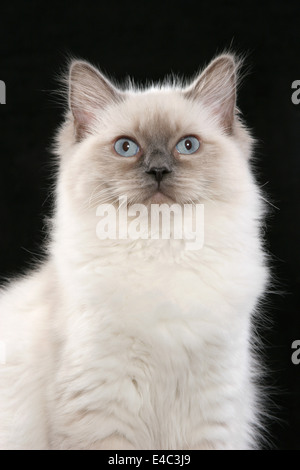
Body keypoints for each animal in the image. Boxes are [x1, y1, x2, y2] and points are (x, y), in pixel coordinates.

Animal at [0, 53, 268, 450]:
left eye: (187, 146)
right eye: (126, 147)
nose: (158, 170)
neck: (161, 252)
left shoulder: (211, 414)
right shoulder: (103, 411)